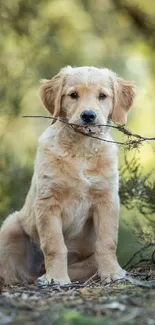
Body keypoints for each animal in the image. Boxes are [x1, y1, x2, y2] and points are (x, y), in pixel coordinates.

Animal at [0, 66, 135, 284]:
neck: (81, 149)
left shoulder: (107, 200)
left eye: (102, 96)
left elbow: (107, 241)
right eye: (73, 95)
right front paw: (56, 278)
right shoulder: (48, 201)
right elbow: (54, 244)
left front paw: (113, 272)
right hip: (10, 226)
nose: (88, 115)